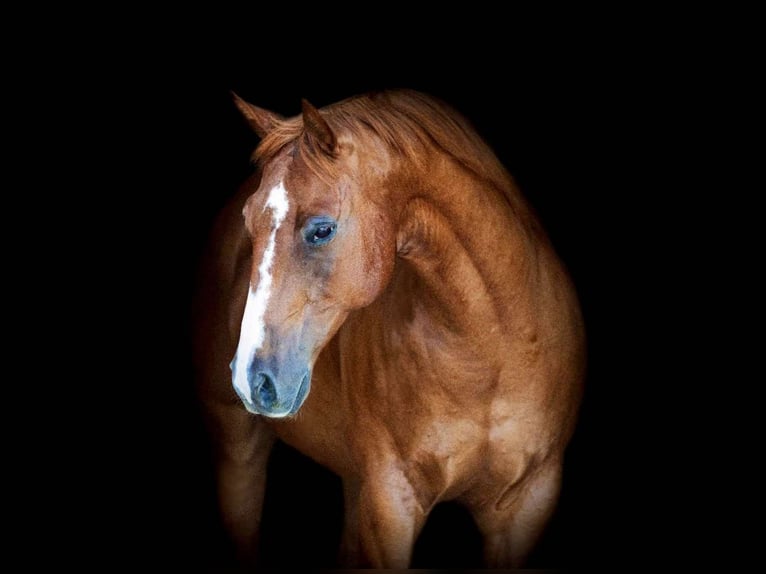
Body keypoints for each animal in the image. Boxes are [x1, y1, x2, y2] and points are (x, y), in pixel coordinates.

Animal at [192, 88, 586, 569]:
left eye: (321, 230)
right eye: (250, 225)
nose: (252, 380)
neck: (490, 352)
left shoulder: (527, 503)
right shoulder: (391, 502)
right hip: (238, 453)